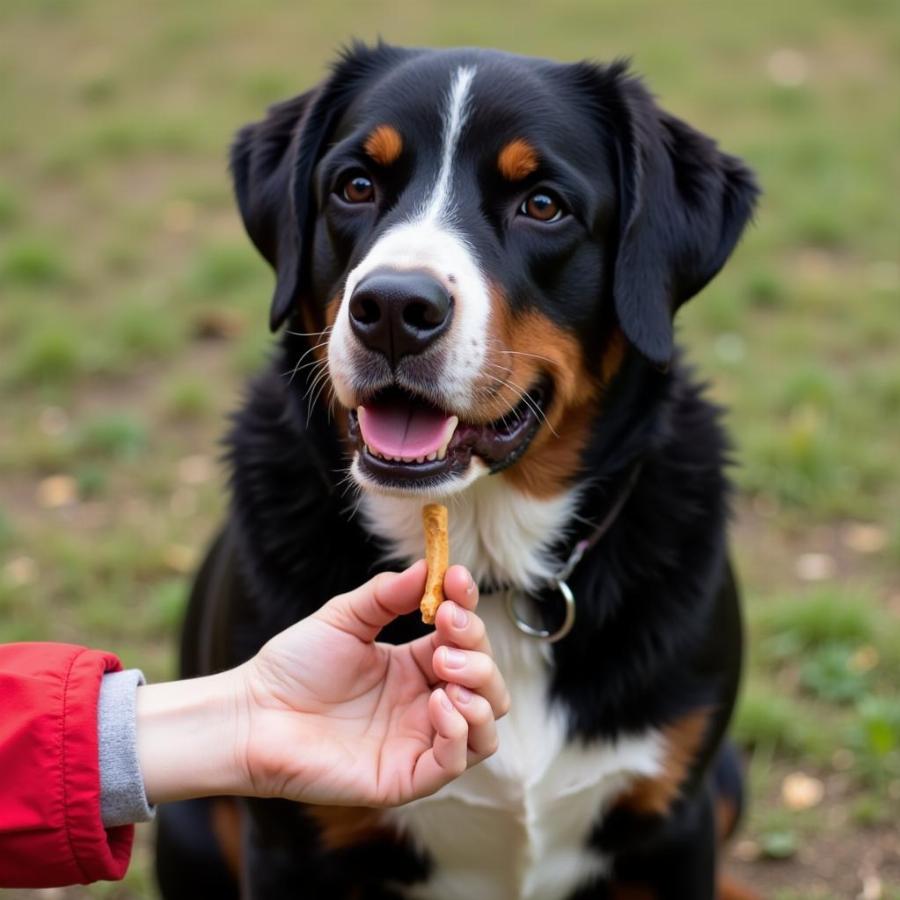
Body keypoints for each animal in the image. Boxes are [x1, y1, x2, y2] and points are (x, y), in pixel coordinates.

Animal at [155, 42, 760, 900]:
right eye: (356, 186)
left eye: (542, 204)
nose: (392, 308)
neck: (488, 553)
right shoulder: (289, 843)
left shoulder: (673, 817)